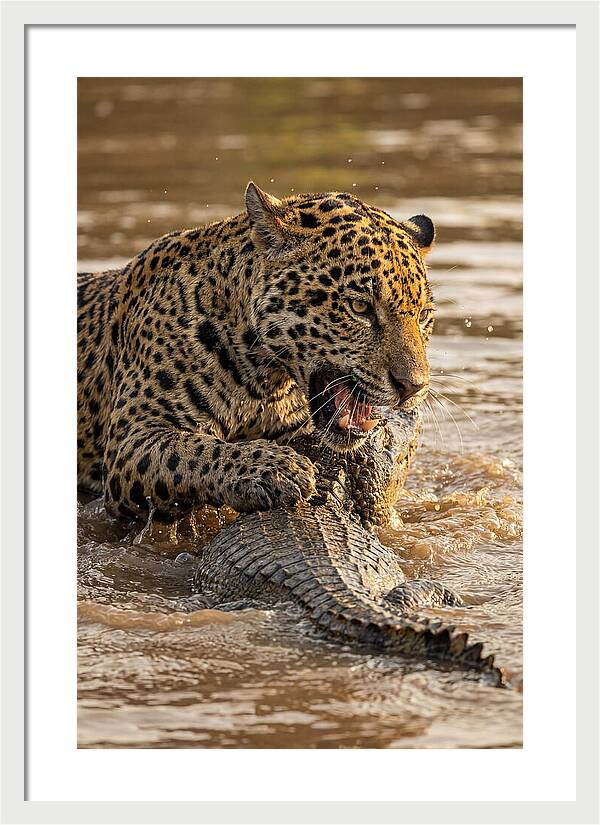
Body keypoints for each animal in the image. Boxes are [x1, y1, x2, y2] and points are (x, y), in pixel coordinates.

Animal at [77, 182, 436, 521]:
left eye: (423, 316)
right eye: (360, 307)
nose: (413, 387)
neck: (264, 380)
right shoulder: (133, 438)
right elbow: (193, 450)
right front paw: (276, 469)